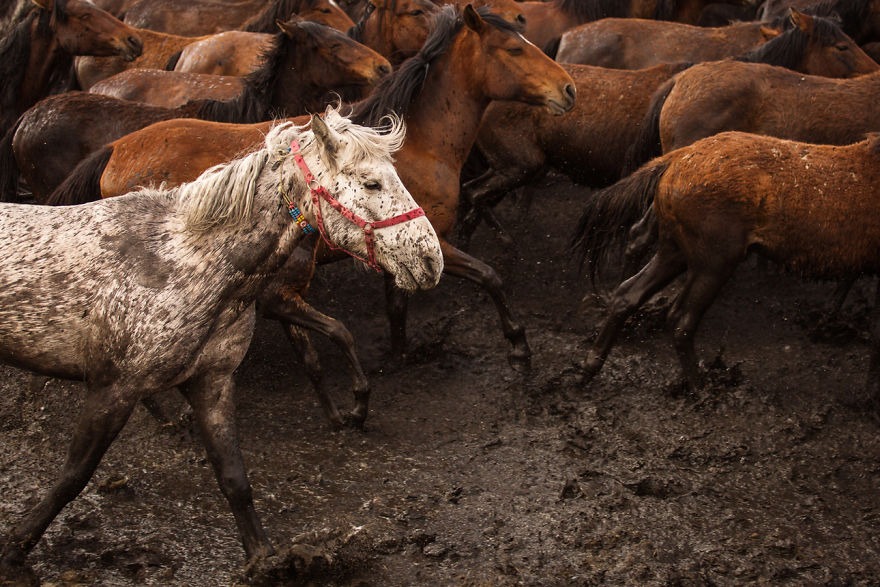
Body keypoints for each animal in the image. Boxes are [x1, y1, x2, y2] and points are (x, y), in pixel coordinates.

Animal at [0, 108, 442, 585]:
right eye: (371, 183)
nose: (431, 258)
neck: (181, 260)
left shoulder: (212, 382)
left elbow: (234, 478)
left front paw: (265, 559)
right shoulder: (112, 390)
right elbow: (72, 477)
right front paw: (15, 549)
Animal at [48, 6, 576, 422]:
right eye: (514, 50)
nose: (569, 89)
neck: (418, 146)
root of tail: (114, 149)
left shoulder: (401, 250)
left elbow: (400, 305)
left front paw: (399, 354)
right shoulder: (430, 241)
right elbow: (489, 276)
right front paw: (519, 349)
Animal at [569, 130, 880, 408]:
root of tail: (677, 158)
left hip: (674, 251)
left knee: (627, 294)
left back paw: (588, 369)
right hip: (715, 263)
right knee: (681, 319)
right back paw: (701, 390)